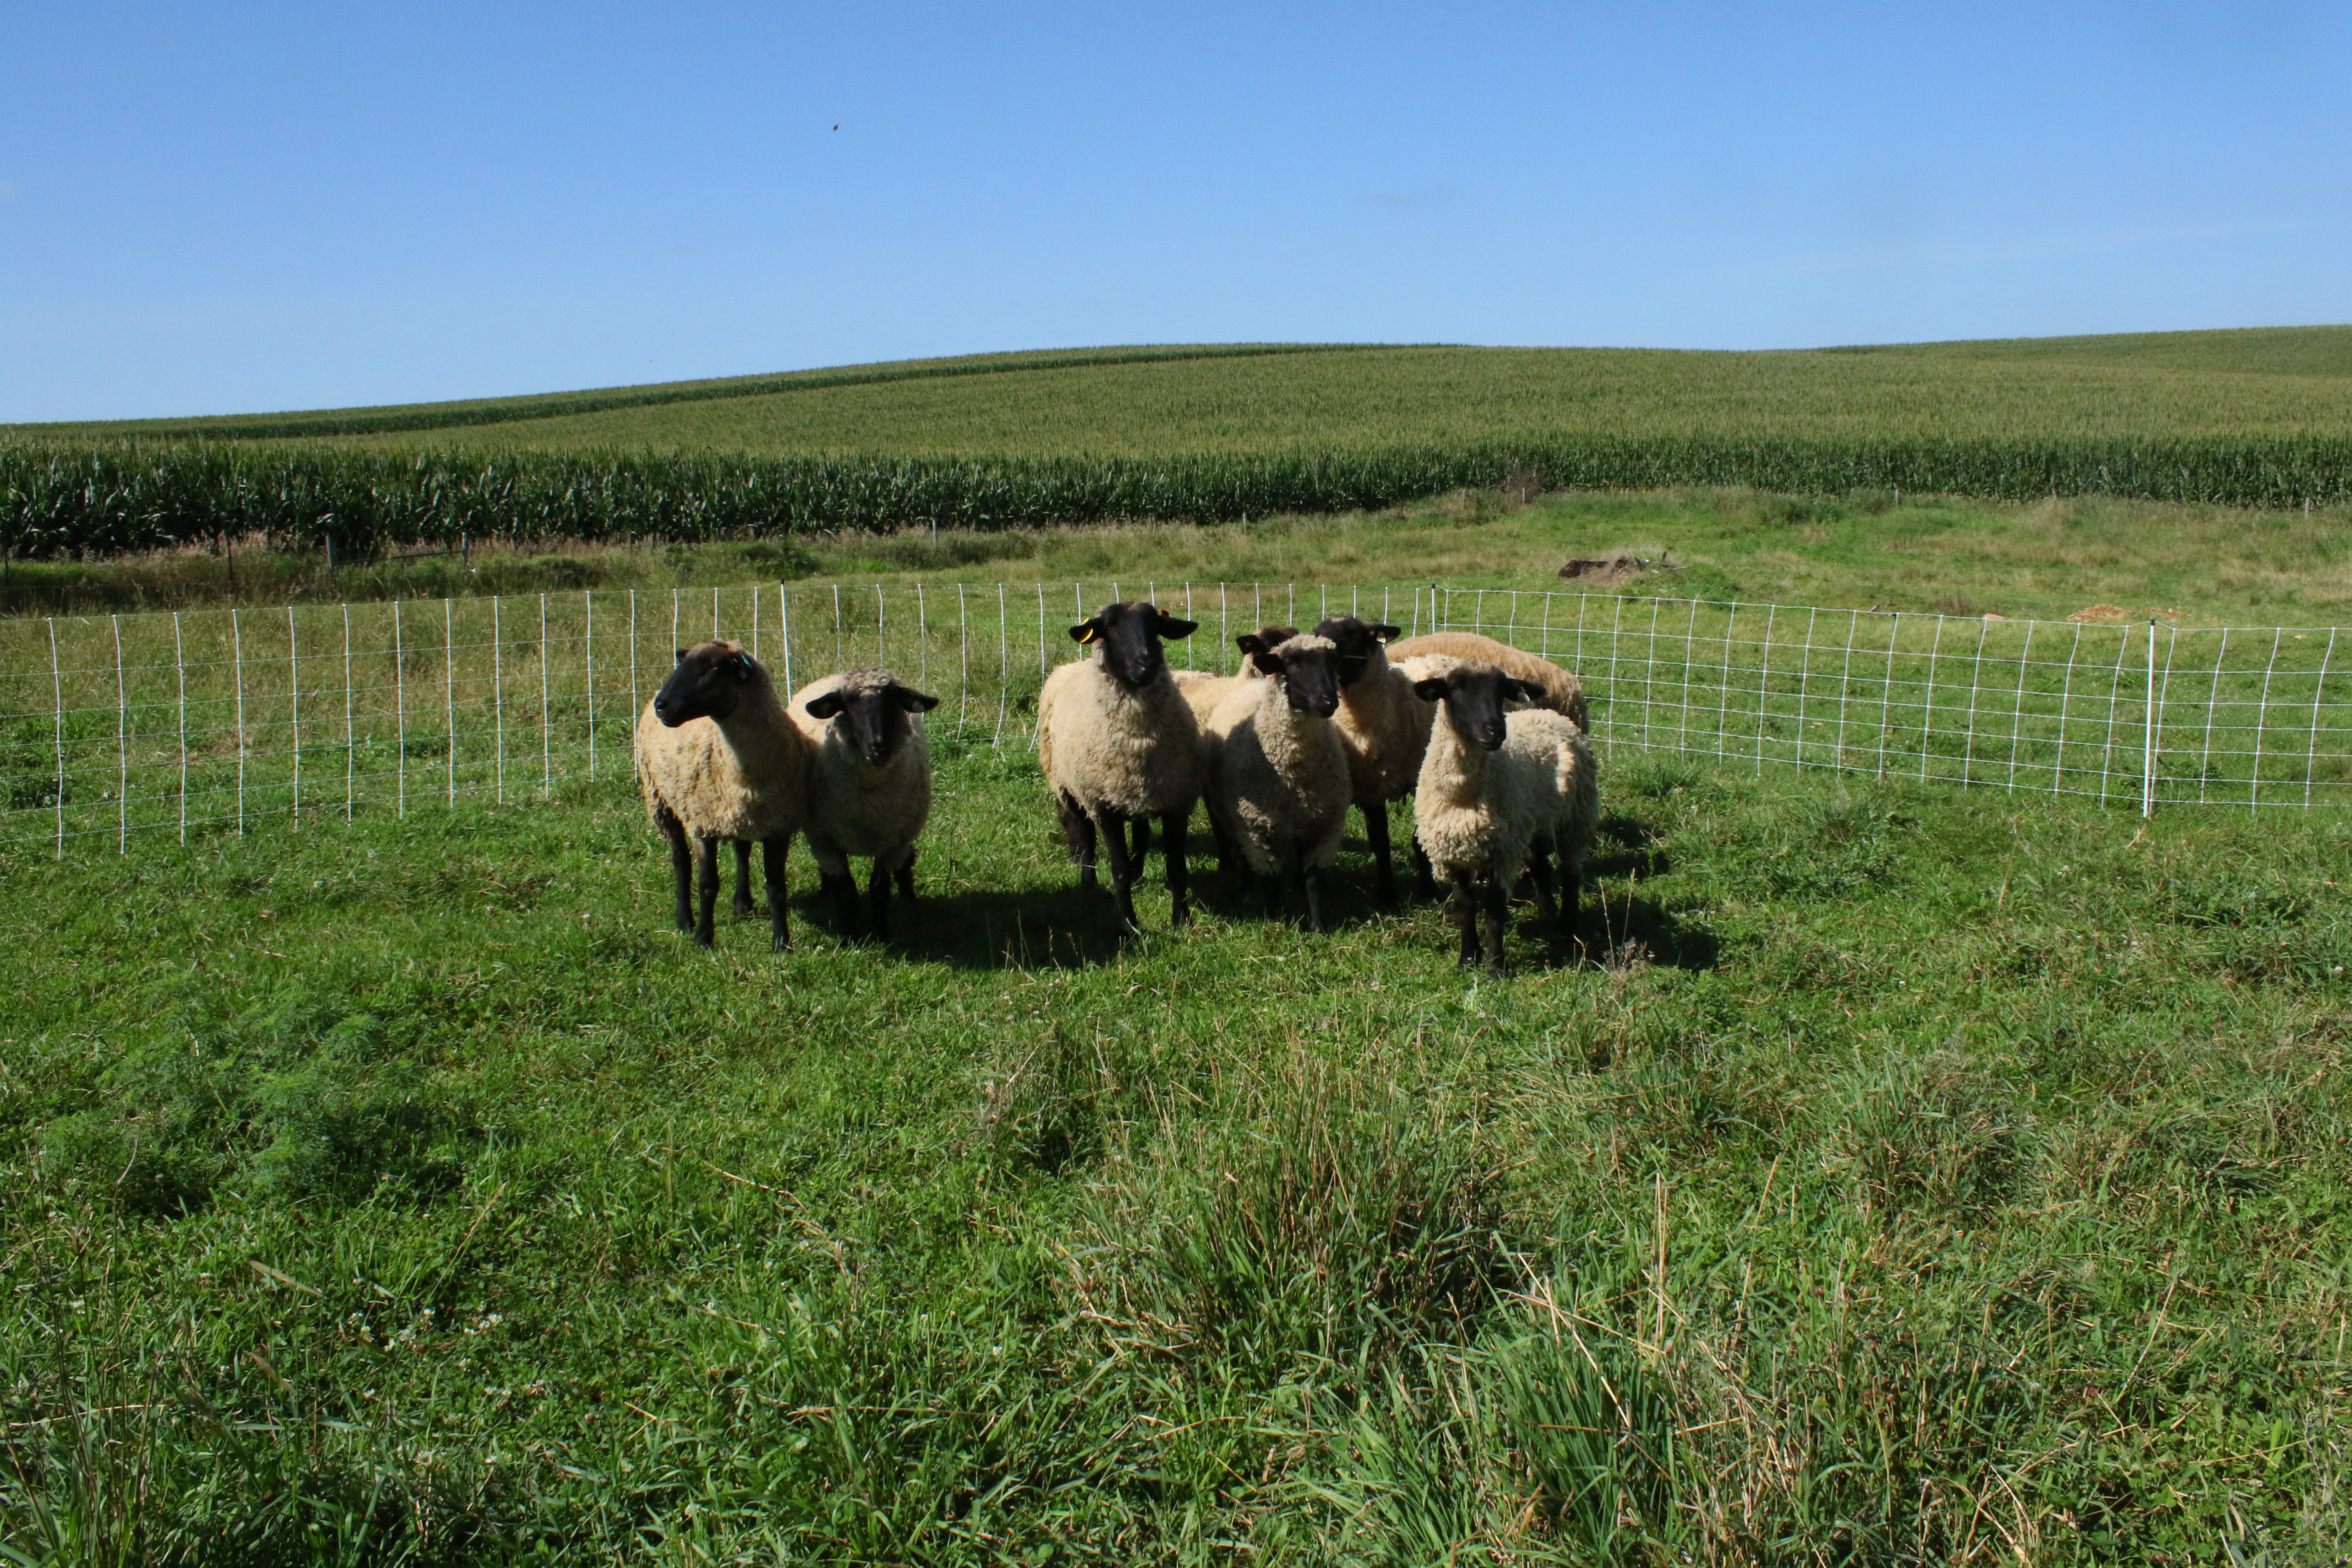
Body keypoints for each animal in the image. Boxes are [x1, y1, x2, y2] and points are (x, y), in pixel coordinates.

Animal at [635, 639, 809, 950]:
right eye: (683, 664)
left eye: (714, 668)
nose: (661, 707)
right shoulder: (702, 825)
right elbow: (708, 886)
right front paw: (703, 938)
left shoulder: (778, 827)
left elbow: (777, 888)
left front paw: (782, 943)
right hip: (661, 800)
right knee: (680, 860)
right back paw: (684, 920)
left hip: (738, 814)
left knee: (742, 851)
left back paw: (743, 903)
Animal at [788, 668, 939, 940]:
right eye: (847, 704)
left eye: (893, 700)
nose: (878, 746)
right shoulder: (828, 839)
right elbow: (845, 889)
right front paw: (849, 936)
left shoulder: (891, 840)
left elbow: (879, 888)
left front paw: (882, 934)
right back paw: (825, 896)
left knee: (906, 862)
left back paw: (910, 902)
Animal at [1036, 600, 1202, 935]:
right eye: (1110, 626)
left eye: (1155, 625)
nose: (1145, 664)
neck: (1138, 740)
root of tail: (1067, 667)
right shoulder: (1104, 806)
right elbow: (1119, 870)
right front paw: (1130, 927)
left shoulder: (1176, 802)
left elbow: (1177, 868)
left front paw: (1182, 921)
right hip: (1069, 785)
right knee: (1085, 834)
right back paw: (1089, 882)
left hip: (1137, 792)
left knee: (1140, 829)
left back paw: (1139, 873)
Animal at [1201, 632, 1351, 931]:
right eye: (1291, 664)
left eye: (1333, 663)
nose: (1328, 701)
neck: (1293, 771)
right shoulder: (1255, 825)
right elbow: (1269, 877)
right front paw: (1275, 919)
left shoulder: (1327, 822)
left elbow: (1315, 878)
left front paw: (1317, 926)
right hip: (1230, 815)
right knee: (1242, 856)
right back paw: (1245, 893)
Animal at [1411, 660, 1600, 976]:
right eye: (1455, 688)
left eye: (1502, 692)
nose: (1495, 730)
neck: (1464, 795)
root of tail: (1548, 713)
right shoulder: (1451, 852)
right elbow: (1465, 908)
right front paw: (1467, 959)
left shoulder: (1504, 852)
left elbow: (1495, 911)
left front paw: (1496, 966)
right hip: (1534, 820)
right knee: (1540, 866)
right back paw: (1548, 913)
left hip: (1576, 816)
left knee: (1571, 872)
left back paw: (1567, 926)